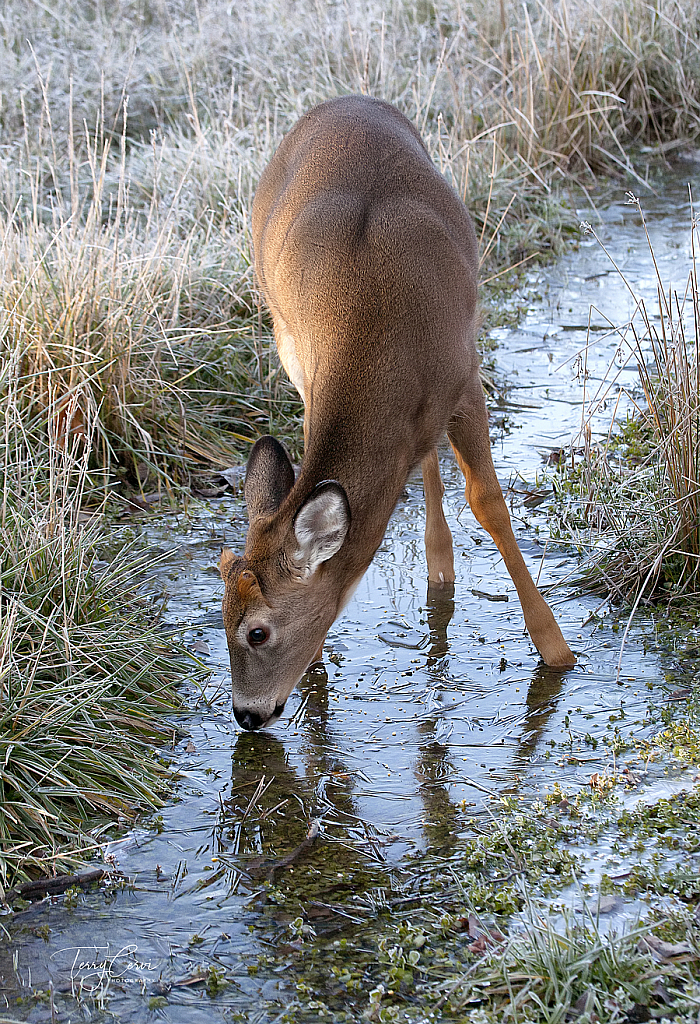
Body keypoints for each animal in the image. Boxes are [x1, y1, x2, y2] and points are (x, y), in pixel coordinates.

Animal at [220, 96, 573, 733]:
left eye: (257, 632)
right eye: (220, 619)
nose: (248, 715)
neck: (385, 342)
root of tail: (341, 102)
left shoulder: (465, 375)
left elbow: (489, 502)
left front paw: (556, 651)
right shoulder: (310, 377)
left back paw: (442, 569)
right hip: (285, 340)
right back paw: (439, 563)